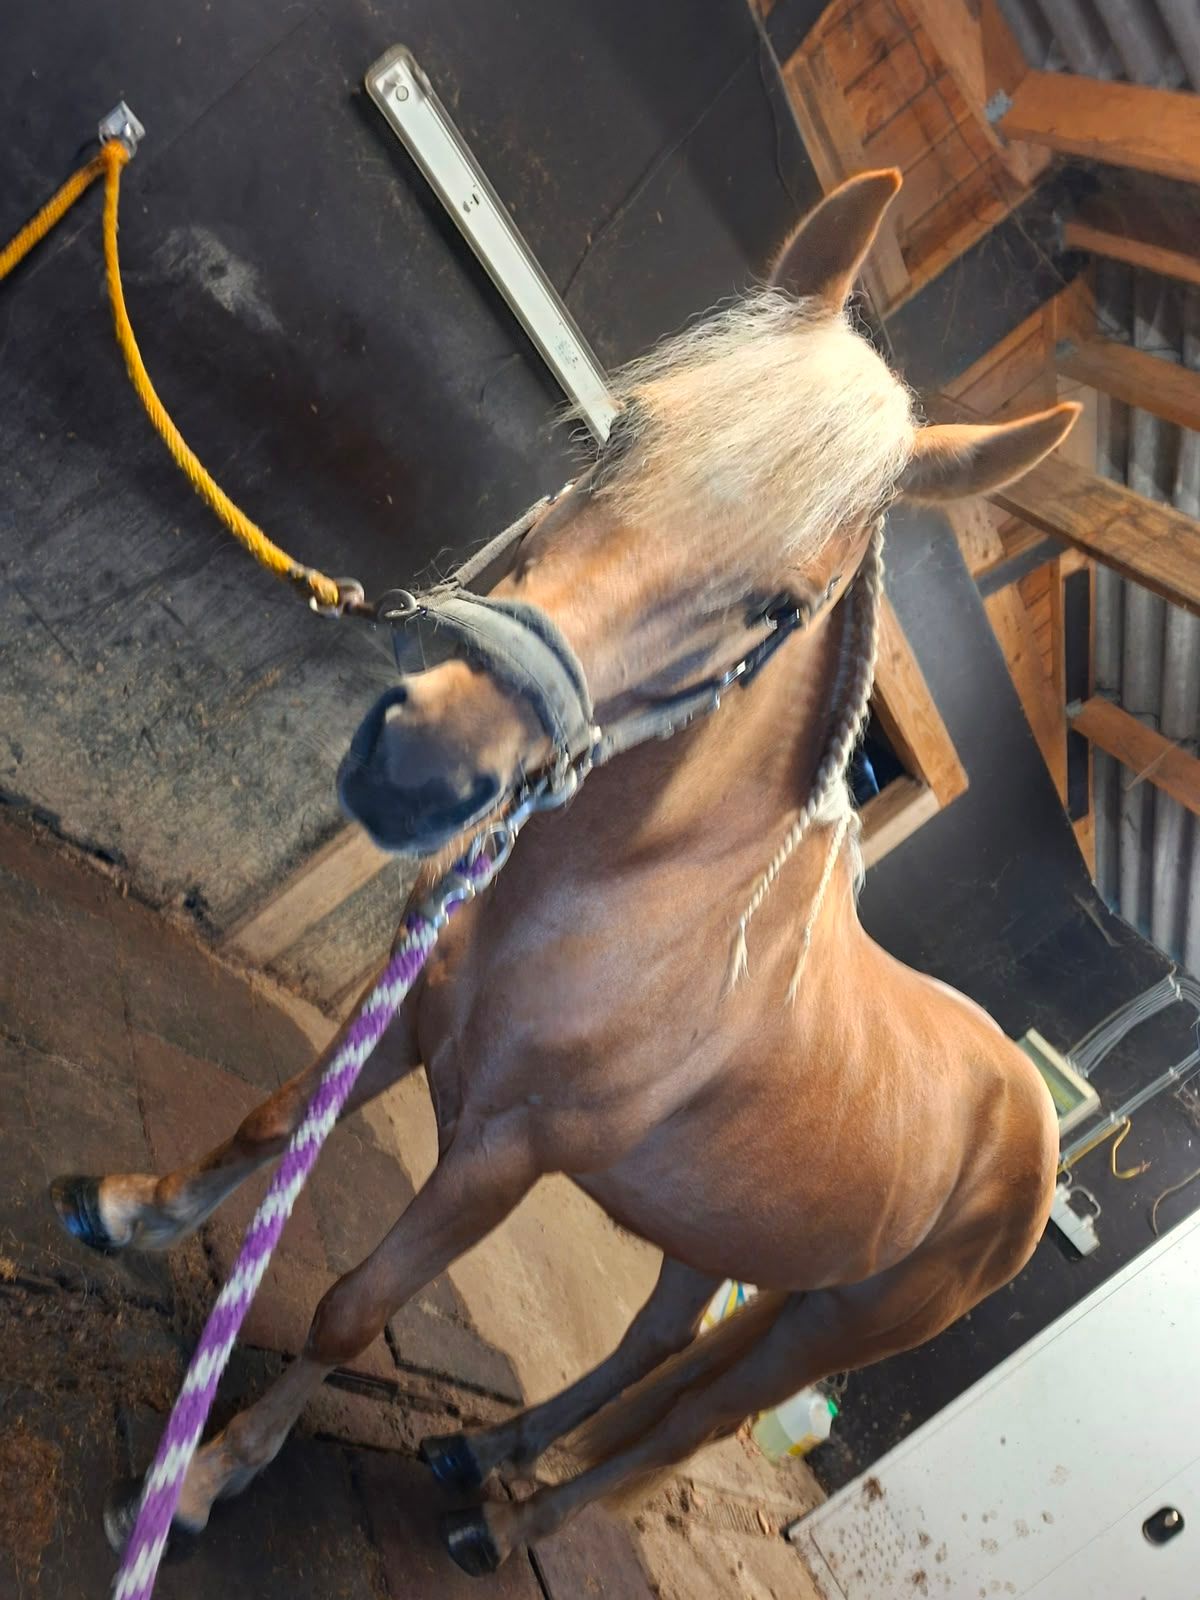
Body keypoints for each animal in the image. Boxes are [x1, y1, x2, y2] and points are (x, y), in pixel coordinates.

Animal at [51, 169, 1075, 1576]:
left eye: (781, 606)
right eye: (623, 430)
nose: (420, 762)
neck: (638, 900)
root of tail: (1029, 1119)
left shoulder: (505, 1151)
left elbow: (351, 1306)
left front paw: (206, 1478)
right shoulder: (409, 1009)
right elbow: (272, 1120)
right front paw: (132, 1210)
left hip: (830, 1321)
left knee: (684, 1424)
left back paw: (512, 1515)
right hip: (716, 1233)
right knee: (655, 1343)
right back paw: (487, 1450)